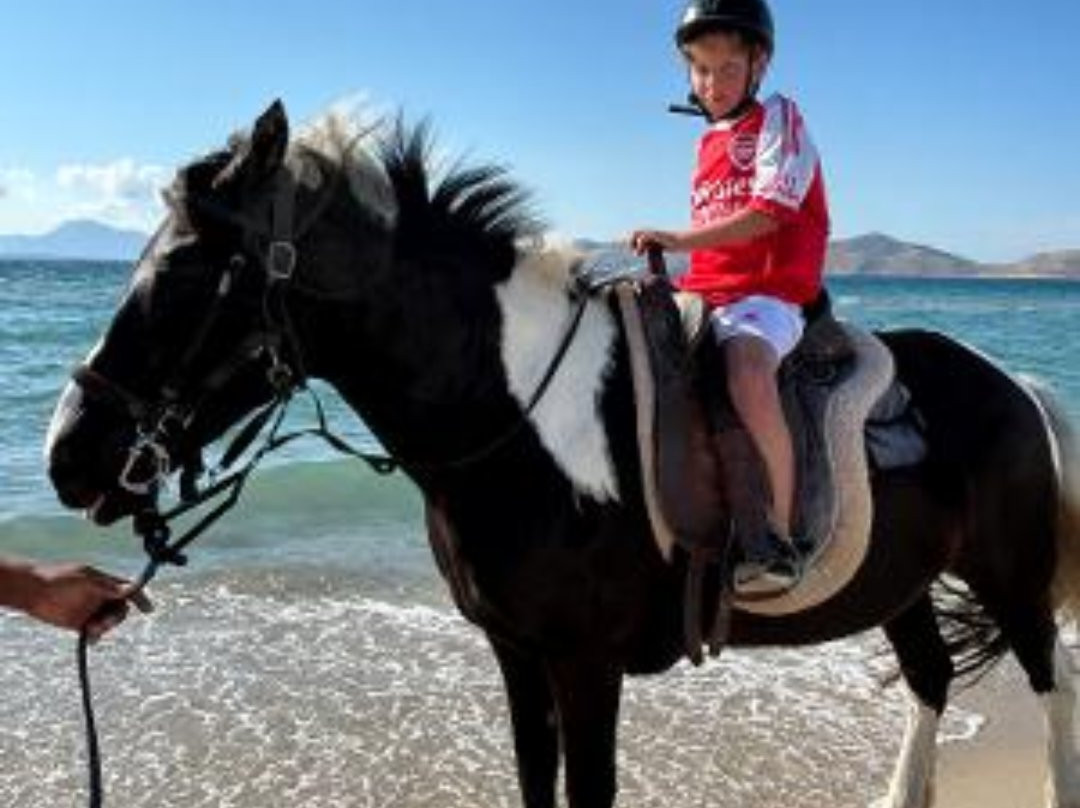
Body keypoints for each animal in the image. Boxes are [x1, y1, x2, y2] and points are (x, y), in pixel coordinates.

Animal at [45, 100, 1080, 808]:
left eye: (187, 270)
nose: (67, 453)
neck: (522, 422)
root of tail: (1016, 385)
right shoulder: (516, 653)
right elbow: (534, 782)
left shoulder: (586, 664)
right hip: (901, 584)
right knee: (932, 681)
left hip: (1011, 579)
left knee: (1049, 683)